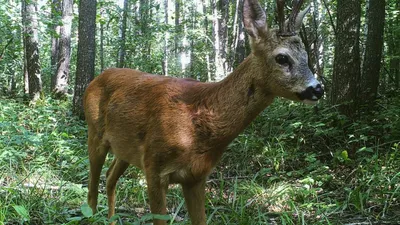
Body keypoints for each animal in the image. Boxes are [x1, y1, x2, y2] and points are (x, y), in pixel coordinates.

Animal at [83, 0, 324, 224]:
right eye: (282, 57)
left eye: (306, 56)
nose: (318, 89)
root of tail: (95, 79)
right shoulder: (154, 167)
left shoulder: (196, 177)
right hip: (94, 133)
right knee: (91, 191)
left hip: (124, 149)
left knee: (109, 177)